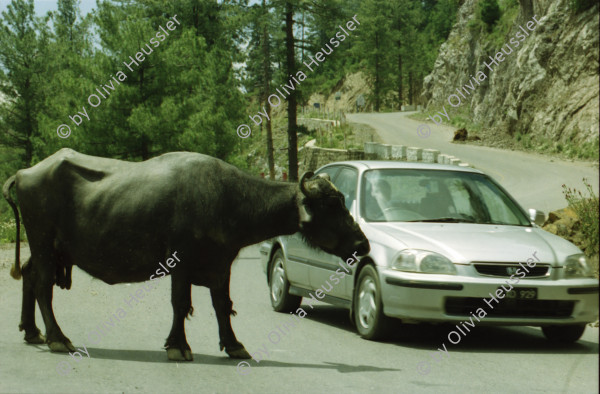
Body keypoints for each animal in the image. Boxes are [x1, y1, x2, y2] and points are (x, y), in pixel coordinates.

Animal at [3, 147, 370, 360]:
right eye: (332, 204)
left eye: (341, 200)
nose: (362, 245)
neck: (227, 199)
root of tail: (24, 173)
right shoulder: (179, 261)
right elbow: (181, 304)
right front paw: (178, 346)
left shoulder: (222, 265)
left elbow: (222, 305)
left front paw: (234, 345)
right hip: (43, 243)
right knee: (43, 286)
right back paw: (58, 338)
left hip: (47, 249)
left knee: (29, 276)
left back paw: (32, 331)